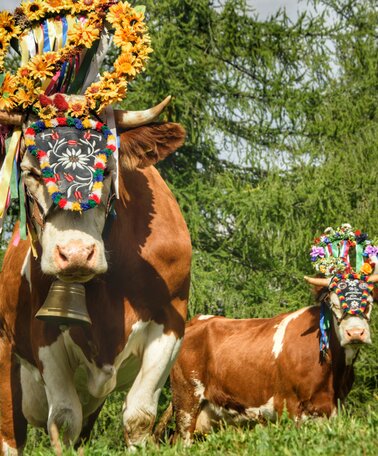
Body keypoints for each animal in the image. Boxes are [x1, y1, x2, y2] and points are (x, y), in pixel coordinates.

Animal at [0, 99, 190, 452]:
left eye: (108, 170)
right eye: (32, 172)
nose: (75, 253)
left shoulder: (171, 321)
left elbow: (139, 415)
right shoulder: (44, 330)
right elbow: (63, 418)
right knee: (10, 436)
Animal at [171, 274, 376, 442]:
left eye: (369, 303)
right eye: (334, 305)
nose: (355, 333)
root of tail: (196, 320)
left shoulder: (332, 408)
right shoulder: (291, 406)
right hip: (186, 401)